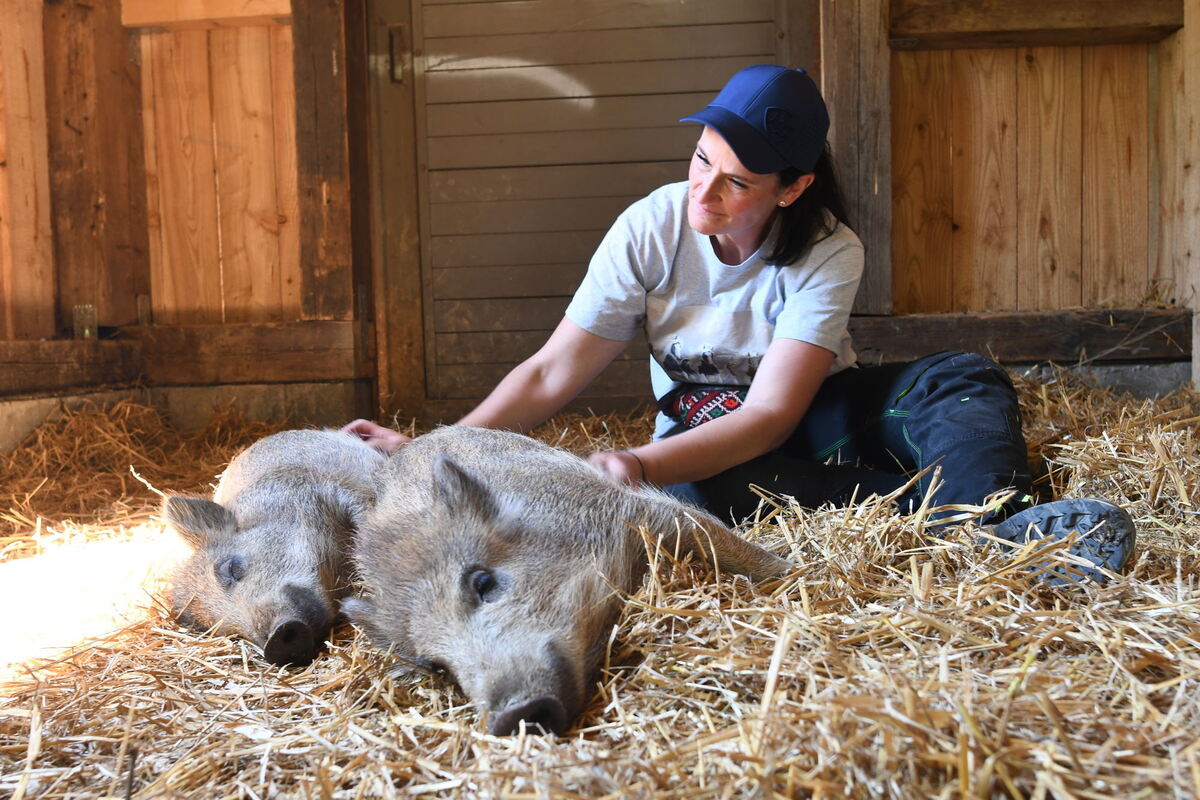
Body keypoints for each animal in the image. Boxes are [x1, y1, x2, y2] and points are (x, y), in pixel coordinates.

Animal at [345, 424, 796, 738]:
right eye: (436, 665)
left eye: (482, 582)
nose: (512, 716)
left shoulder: (641, 512)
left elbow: (718, 540)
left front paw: (795, 572)